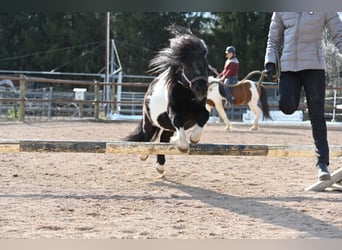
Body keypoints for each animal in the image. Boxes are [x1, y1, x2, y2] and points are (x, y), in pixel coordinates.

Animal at [125, 24, 208, 174]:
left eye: (206, 65)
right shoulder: (173, 113)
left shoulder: (199, 110)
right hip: (149, 121)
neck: (186, 95)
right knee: (147, 136)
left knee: (163, 139)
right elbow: (178, 120)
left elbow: (205, 115)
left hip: (167, 127)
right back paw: (144, 154)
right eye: (187, 66)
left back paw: (160, 166)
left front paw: (194, 138)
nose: (201, 89)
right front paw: (182, 145)